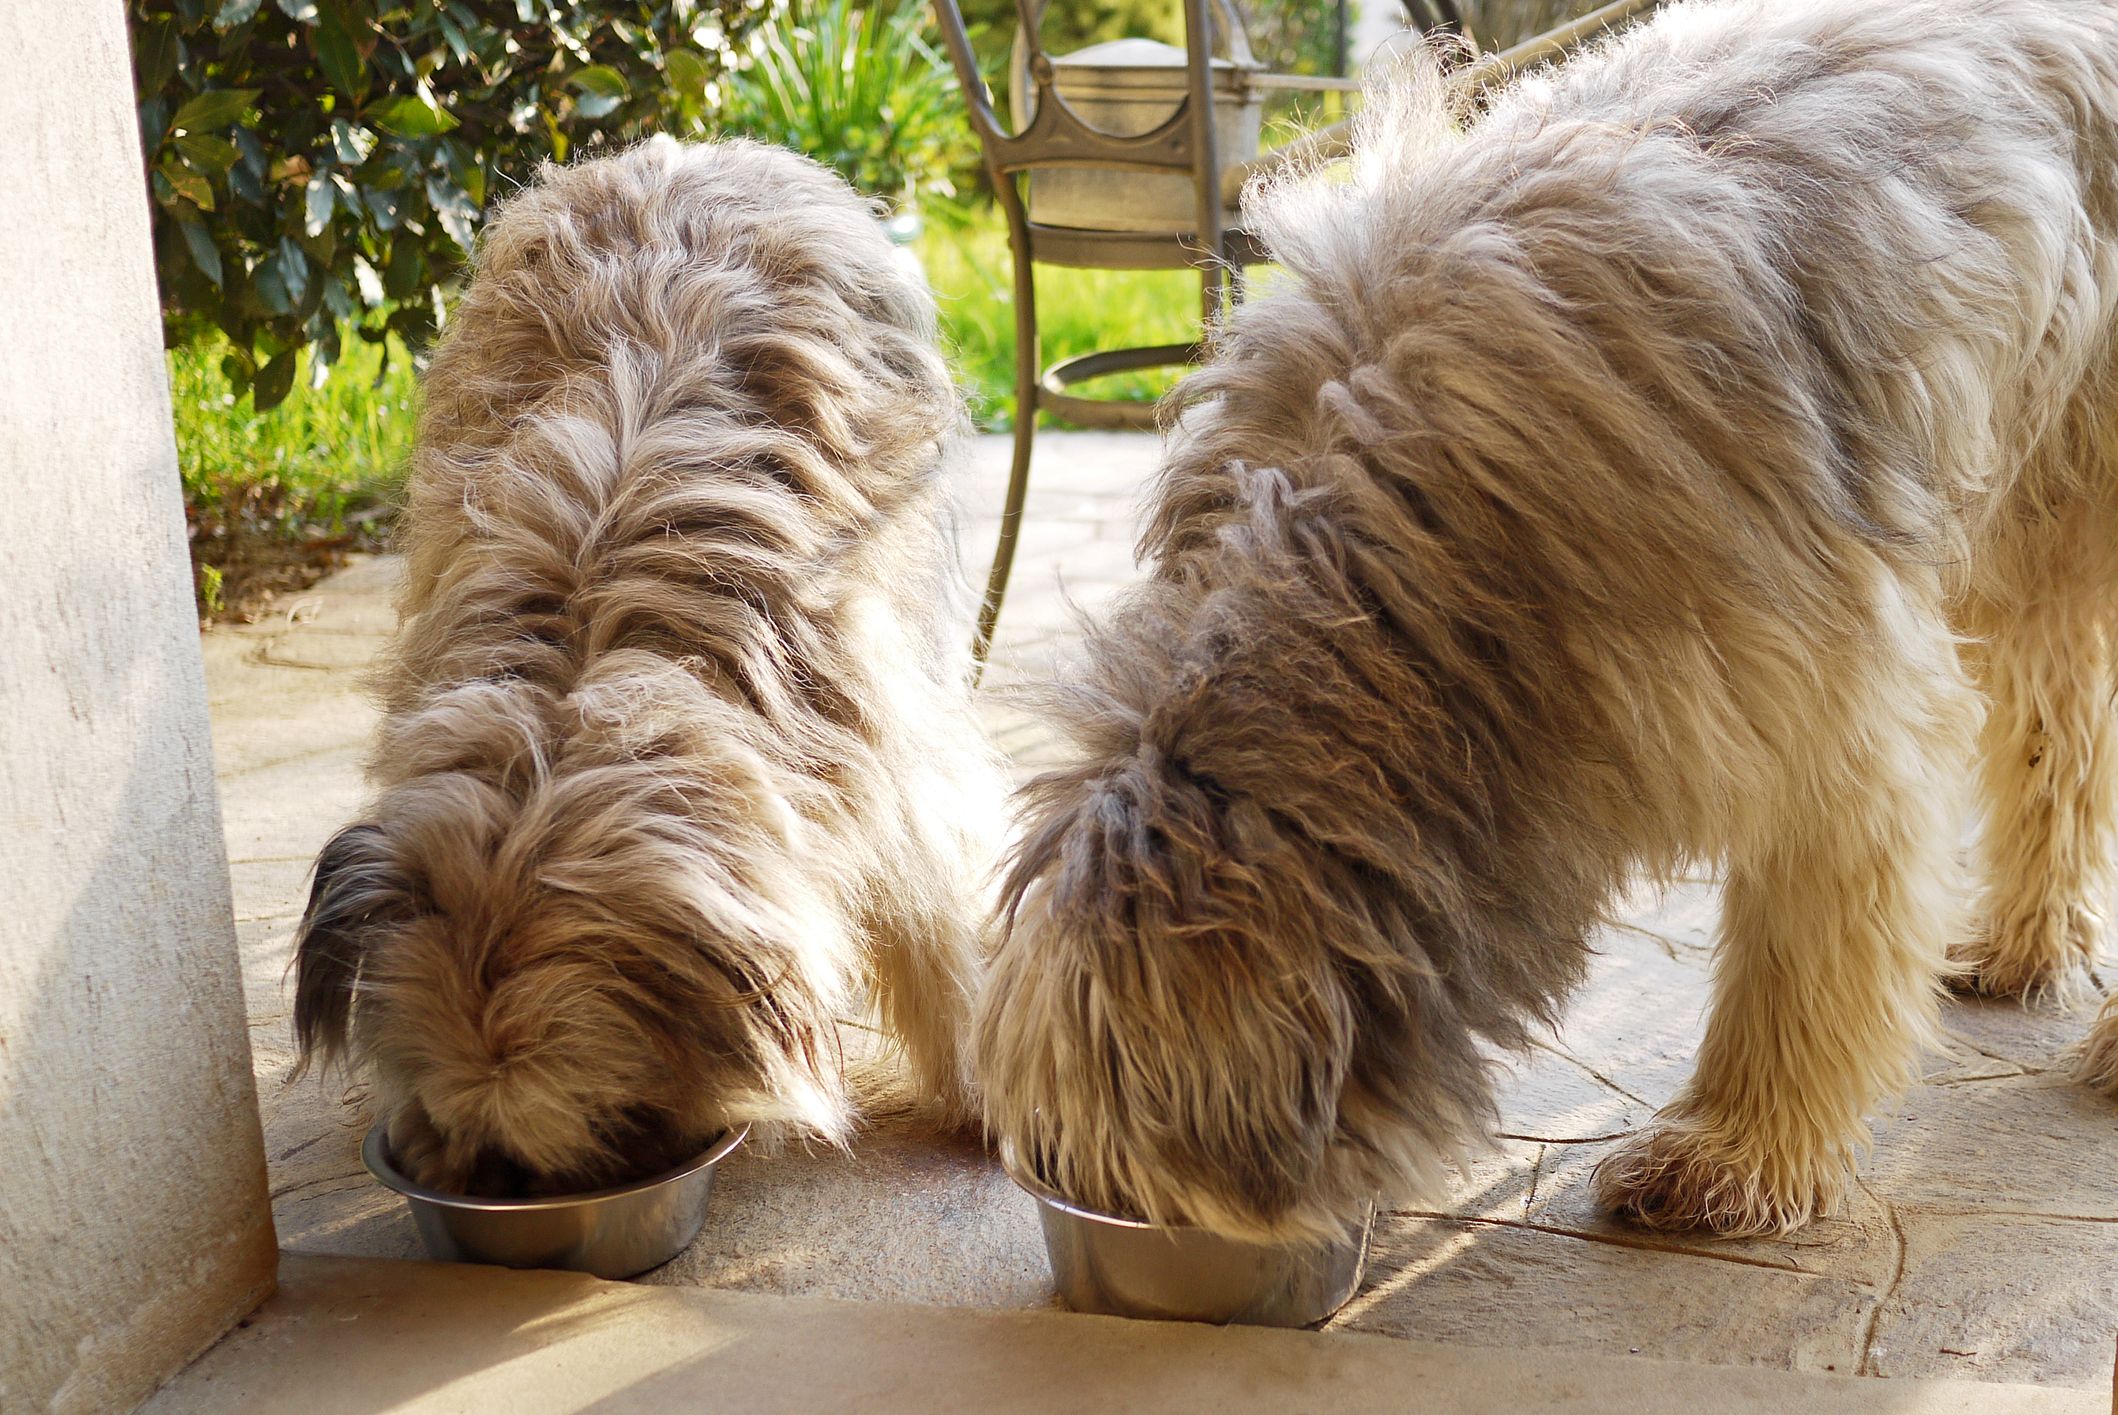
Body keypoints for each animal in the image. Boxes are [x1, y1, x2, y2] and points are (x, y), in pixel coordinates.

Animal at [292, 137, 1008, 1194]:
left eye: (611, 1121)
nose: (492, 1180)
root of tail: (687, 150)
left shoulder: (883, 751)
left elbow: (931, 917)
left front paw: (984, 1087)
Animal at [974, 0, 2118, 1237]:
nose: (1065, 1187)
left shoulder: (1827, 696)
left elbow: (1805, 945)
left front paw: (1735, 1147)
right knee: (2058, 725)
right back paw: (2024, 943)